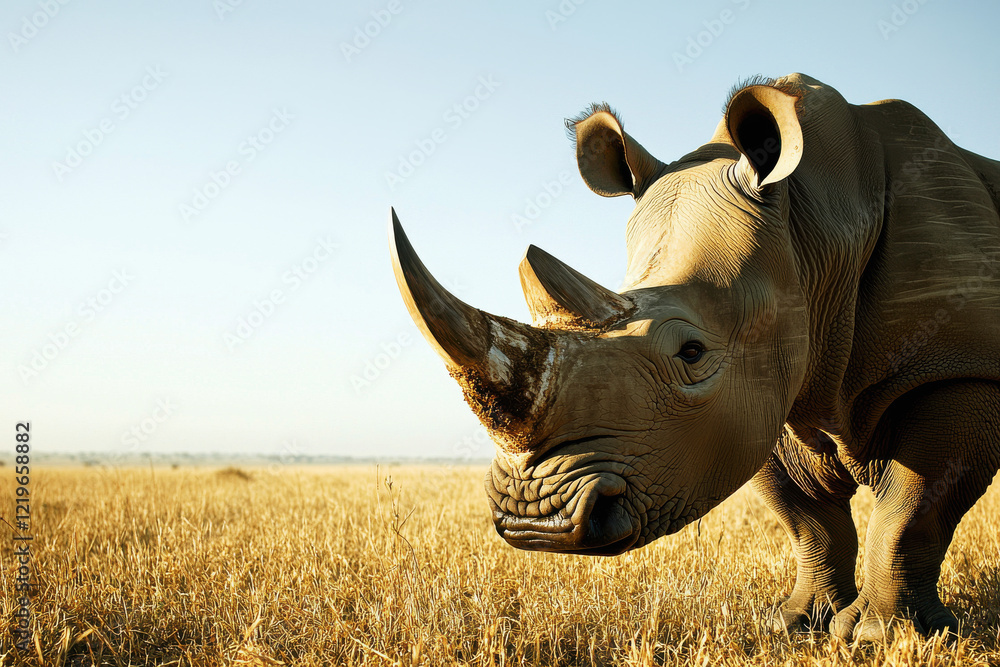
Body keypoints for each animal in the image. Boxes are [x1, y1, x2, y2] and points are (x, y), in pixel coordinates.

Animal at [389, 73, 1000, 641]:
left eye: (692, 351)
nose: (536, 521)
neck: (813, 230)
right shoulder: (765, 393)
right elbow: (807, 517)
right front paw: (796, 623)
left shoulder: (962, 368)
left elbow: (910, 510)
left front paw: (878, 637)